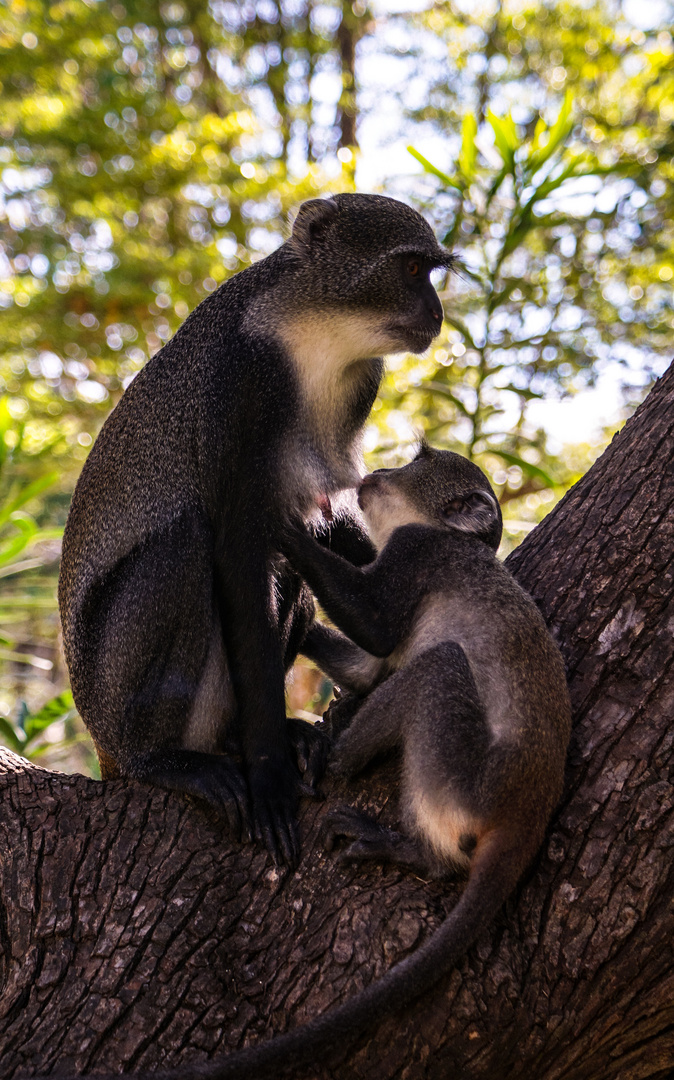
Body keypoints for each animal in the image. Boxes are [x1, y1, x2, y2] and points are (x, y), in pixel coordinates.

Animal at [59, 194, 453, 864]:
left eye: (431, 272)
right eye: (410, 270)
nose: (437, 311)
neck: (310, 331)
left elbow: (329, 518)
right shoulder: (239, 384)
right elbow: (239, 550)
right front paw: (270, 776)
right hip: (116, 697)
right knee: (184, 546)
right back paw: (165, 760)